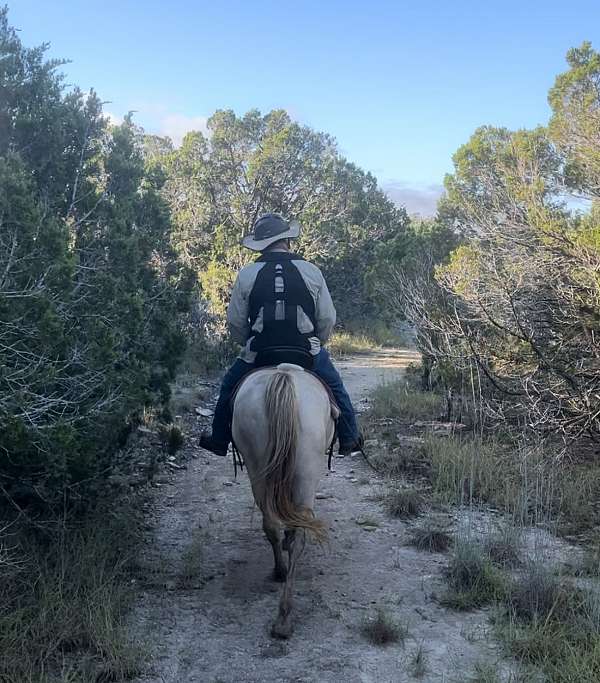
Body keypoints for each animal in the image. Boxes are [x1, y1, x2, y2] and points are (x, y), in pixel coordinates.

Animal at [232, 366, 338, 640]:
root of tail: (285, 375)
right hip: (306, 474)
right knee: (297, 533)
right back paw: (284, 612)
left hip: (259, 470)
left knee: (271, 524)